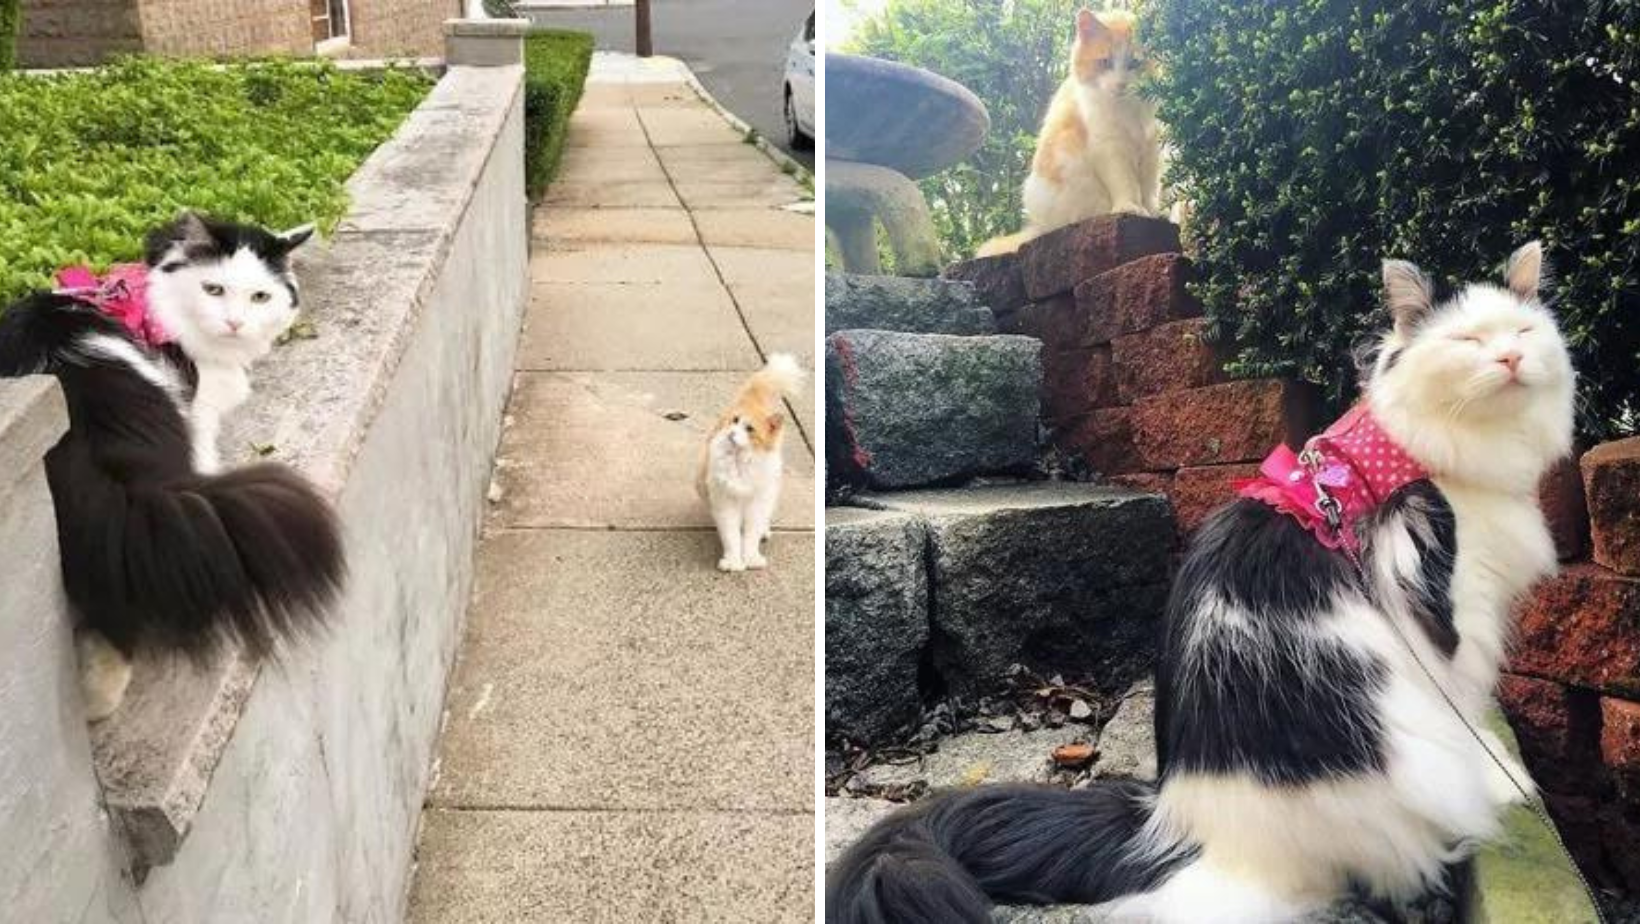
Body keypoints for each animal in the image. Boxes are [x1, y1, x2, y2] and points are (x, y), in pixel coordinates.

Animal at [695, 354, 803, 571]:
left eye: (750, 429)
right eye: (735, 421)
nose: (731, 433)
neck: (740, 461)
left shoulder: (757, 504)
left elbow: (751, 535)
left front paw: (751, 558)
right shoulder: (726, 503)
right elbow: (731, 536)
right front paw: (733, 561)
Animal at [833, 244, 1574, 924]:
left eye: (1523, 331)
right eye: (1468, 340)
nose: (1509, 360)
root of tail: (1176, 819)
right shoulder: (1454, 607)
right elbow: (1469, 709)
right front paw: (1504, 780)